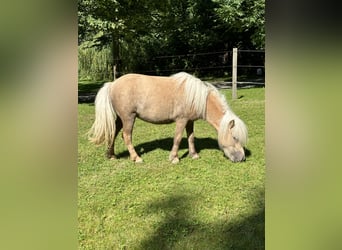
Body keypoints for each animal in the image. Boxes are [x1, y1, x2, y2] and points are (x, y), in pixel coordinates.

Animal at [88, 71, 247, 163]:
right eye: (234, 137)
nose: (242, 158)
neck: (196, 97)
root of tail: (112, 84)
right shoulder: (181, 120)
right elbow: (177, 138)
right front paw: (174, 158)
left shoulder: (190, 121)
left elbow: (191, 138)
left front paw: (194, 155)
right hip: (128, 118)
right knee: (126, 136)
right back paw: (136, 158)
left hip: (120, 119)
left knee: (113, 133)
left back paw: (111, 155)